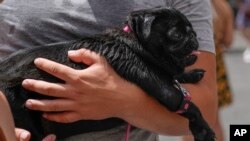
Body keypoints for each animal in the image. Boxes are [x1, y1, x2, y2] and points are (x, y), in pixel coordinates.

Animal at [0, 7, 215, 140]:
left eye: (192, 31)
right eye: (177, 35)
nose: (194, 37)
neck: (135, 44)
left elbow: (176, 76)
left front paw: (191, 74)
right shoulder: (165, 90)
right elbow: (189, 105)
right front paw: (203, 129)